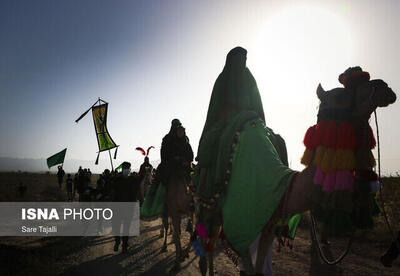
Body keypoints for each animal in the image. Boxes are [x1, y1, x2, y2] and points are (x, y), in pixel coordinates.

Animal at [198, 76, 396, 274]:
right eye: (340, 96)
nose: (384, 87)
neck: (281, 185)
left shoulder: (268, 223)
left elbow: (258, 267)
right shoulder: (240, 221)